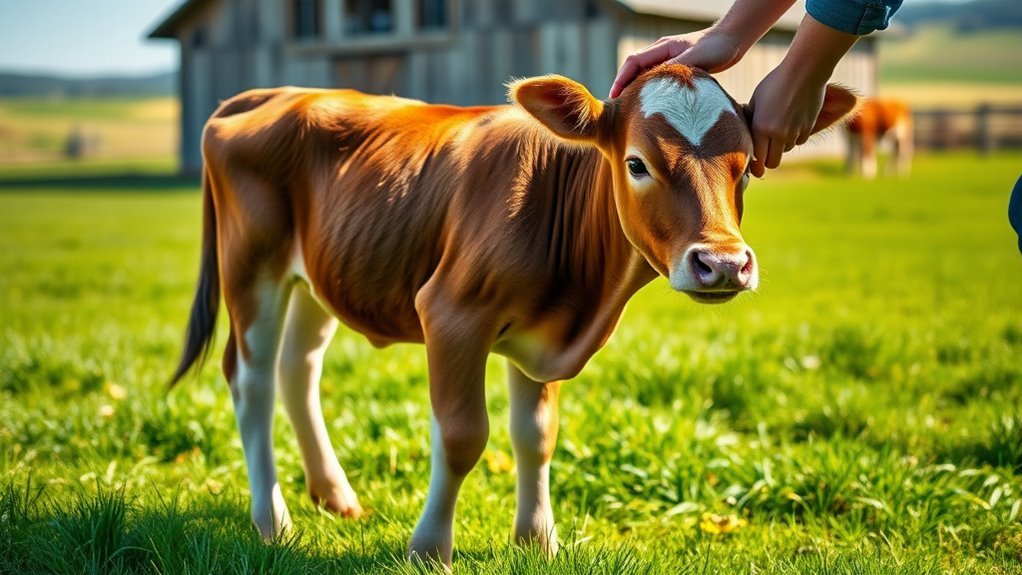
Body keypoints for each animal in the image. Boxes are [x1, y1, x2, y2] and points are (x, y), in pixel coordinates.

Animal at [170, 64, 857, 567]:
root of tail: (276, 91)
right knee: (252, 381)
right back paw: (273, 521)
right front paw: (430, 549)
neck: (585, 297)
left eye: (747, 170)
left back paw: (335, 497)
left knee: (298, 370)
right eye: (637, 163)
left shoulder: (543, 334)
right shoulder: (451, 315)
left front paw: (538, 540)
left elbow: (536, 435)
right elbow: (462, 435)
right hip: (251, 265)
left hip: (317, 276)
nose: (724, 264)